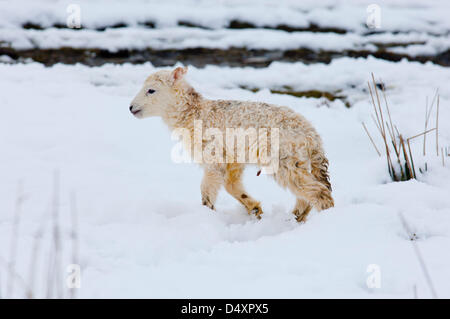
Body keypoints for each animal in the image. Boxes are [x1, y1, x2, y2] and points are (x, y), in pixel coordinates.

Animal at [130, 67, 334, 222]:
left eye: (151, 90)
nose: (131, 108)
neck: (195, 113)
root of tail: (313, 137)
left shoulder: (212, 155)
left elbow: (207, 188)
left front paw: (207, 213)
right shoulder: (233, 157)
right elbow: (231, 184)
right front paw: (254, 208)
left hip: (284, 158)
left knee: (318, 191)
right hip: (298, 160)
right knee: (307, 192)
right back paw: (295, 218)